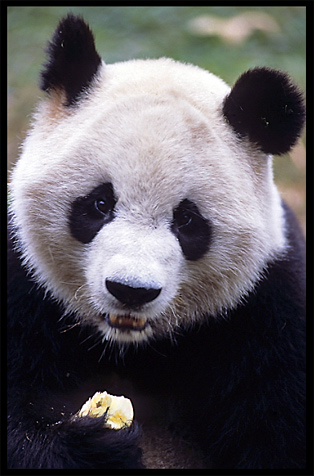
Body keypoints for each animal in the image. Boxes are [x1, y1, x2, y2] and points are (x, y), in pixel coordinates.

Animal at [7, 13, 306, 468]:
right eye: (99, 204)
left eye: (187, 221)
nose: (131, 291)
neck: (129, 347)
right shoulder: (22, 286)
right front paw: (93, 445)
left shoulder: (269, 315)